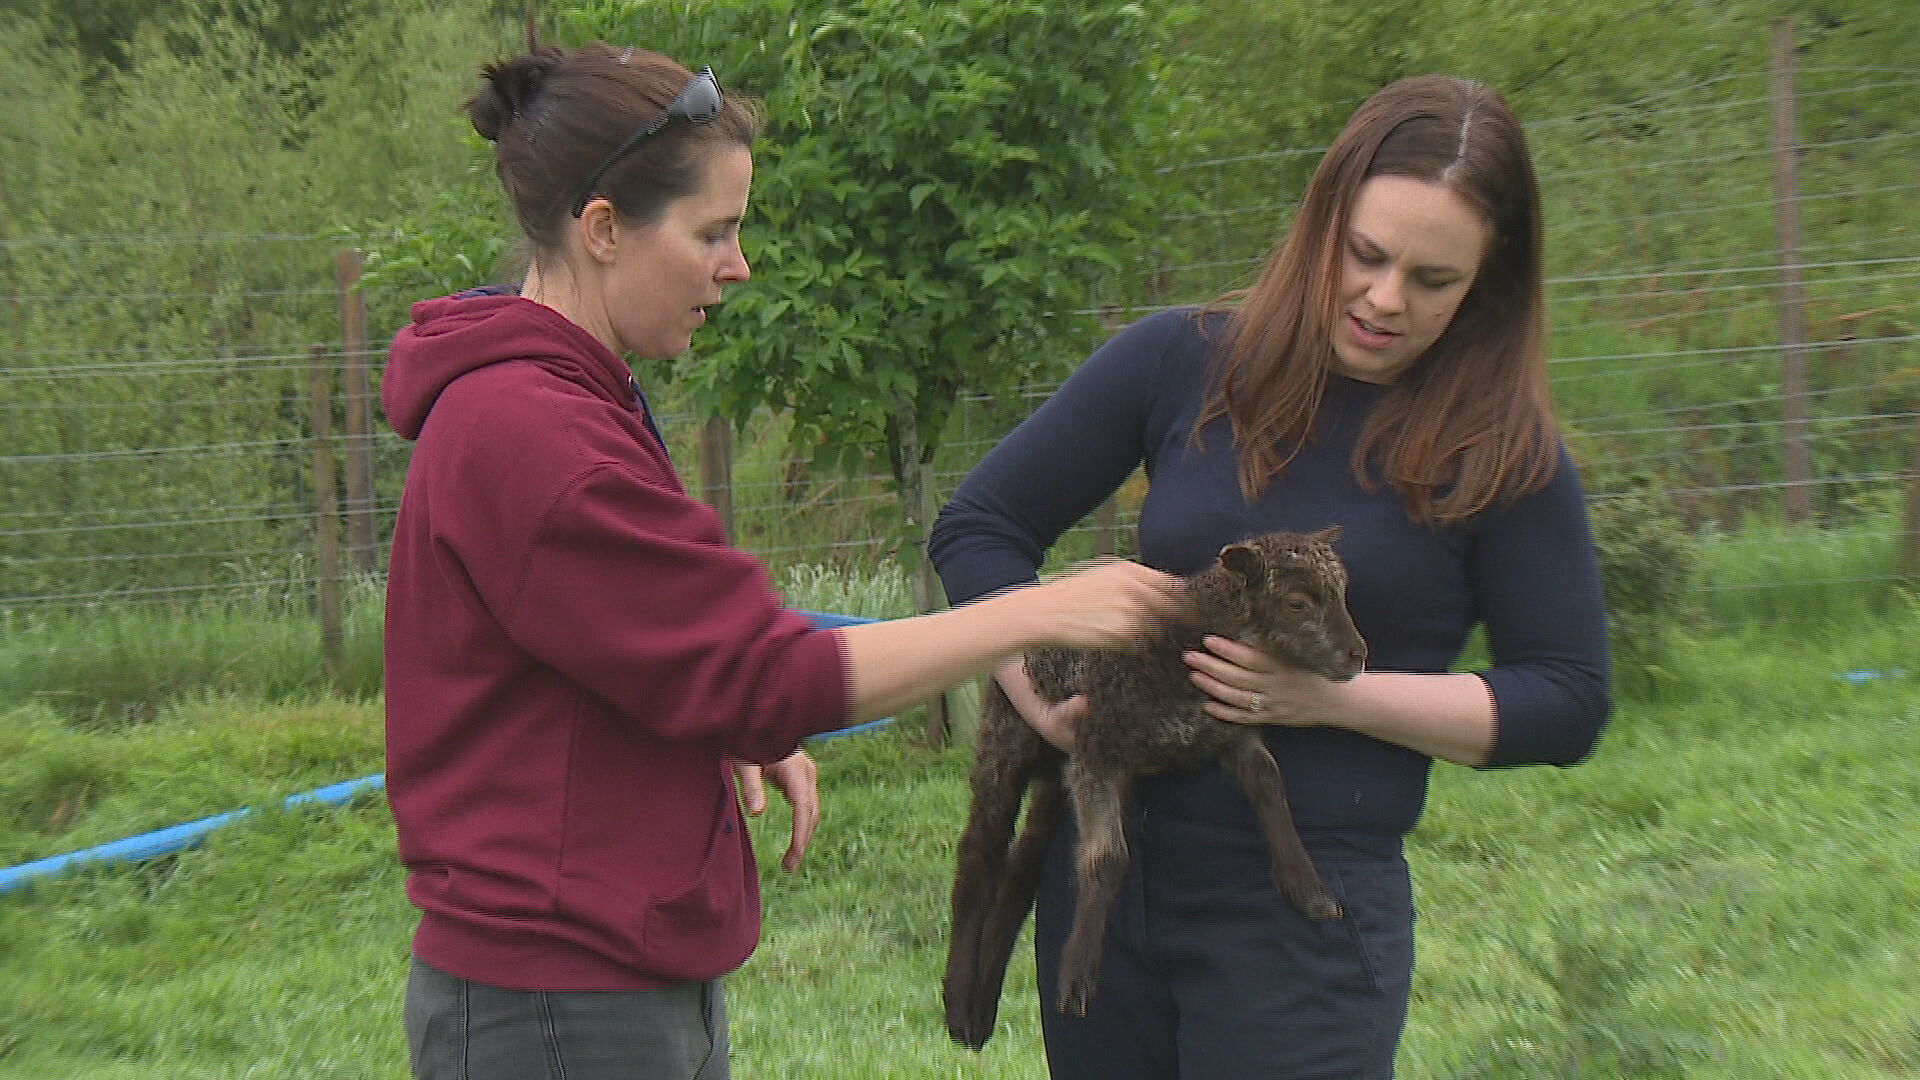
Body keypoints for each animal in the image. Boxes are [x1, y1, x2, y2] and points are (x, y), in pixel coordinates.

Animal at [940, 526, 1367, 1045]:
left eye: (1342, 593)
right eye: (1298, 603)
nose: (1358, 656)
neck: (1186, 640)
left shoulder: (1229, 729)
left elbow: (1270, 784)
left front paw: (1308, 888)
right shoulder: (1099, 749)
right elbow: (1107, 859)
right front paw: (1078, 979)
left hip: (1060, 766)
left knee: (1023, 868)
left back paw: (983, 1004)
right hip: (1010, 735)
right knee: (979, 854)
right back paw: (960, 1004)